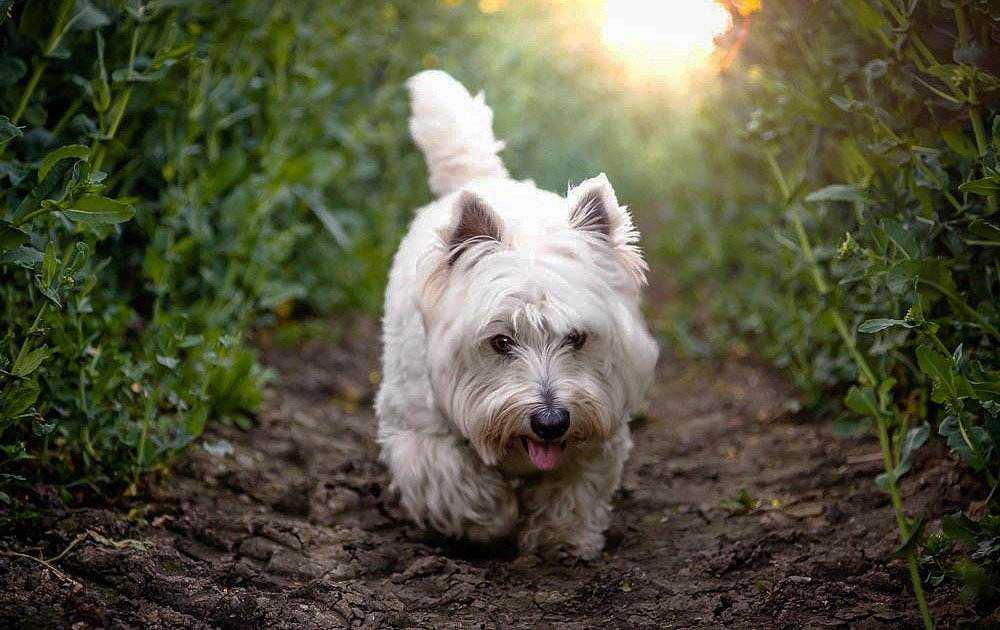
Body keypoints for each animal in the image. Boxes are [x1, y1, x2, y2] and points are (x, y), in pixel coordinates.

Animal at [374, 70, 656, 564]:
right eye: (500, 341)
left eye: (577, 337)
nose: (551, 422)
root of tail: (484, 178)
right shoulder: (415, 431)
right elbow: (454, 479)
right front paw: (493, 521)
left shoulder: (599, 427)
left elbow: (575, 488)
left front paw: (563, 540)